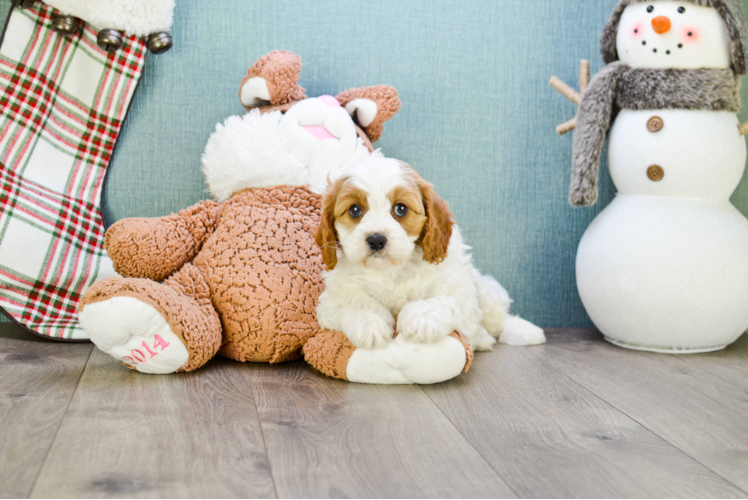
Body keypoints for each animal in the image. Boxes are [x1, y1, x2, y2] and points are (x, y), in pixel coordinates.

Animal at [316, 157, 544, 352]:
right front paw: (368, 323)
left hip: (488, 293)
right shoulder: (331, 301)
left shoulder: (460, 294)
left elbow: (441, 301)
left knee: (499, 320)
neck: (392, 269)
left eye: (400, 209)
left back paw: (523, 332)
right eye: (354, 210)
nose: (376, 239)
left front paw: (420, 319)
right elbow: (354, 301)